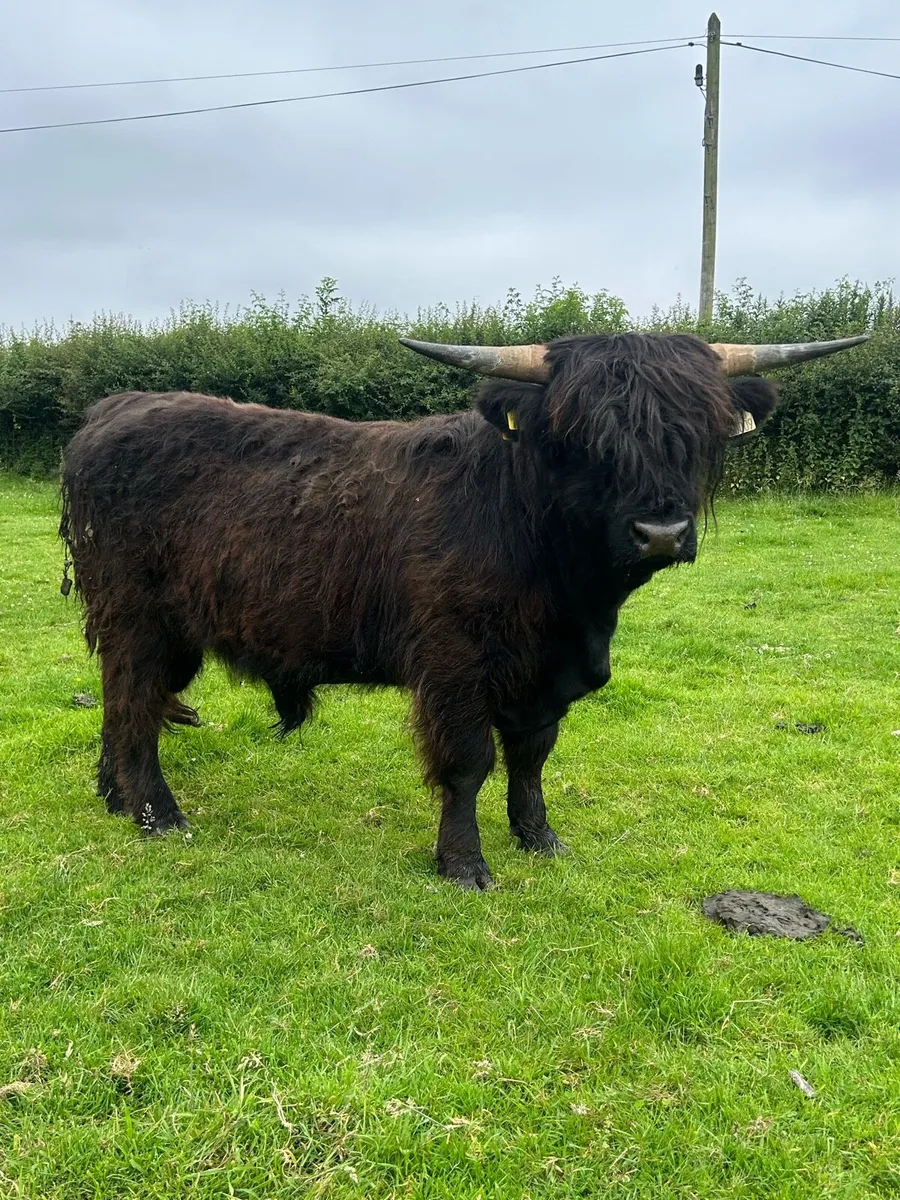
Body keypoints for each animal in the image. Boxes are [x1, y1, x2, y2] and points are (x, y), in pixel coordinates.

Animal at [59, 331, 868, 888]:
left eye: (692, 434)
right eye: (580, 439)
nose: (662, 532)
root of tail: (109, 410)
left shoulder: (546, 673)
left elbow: (533, 757)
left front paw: (539, 837)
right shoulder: (454, 664)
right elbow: (469, 762)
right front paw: (463, 863)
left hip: (163, 630)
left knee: (123, 704)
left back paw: (113, 795)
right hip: (136, 618)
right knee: (135, 705)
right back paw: (158, 815)